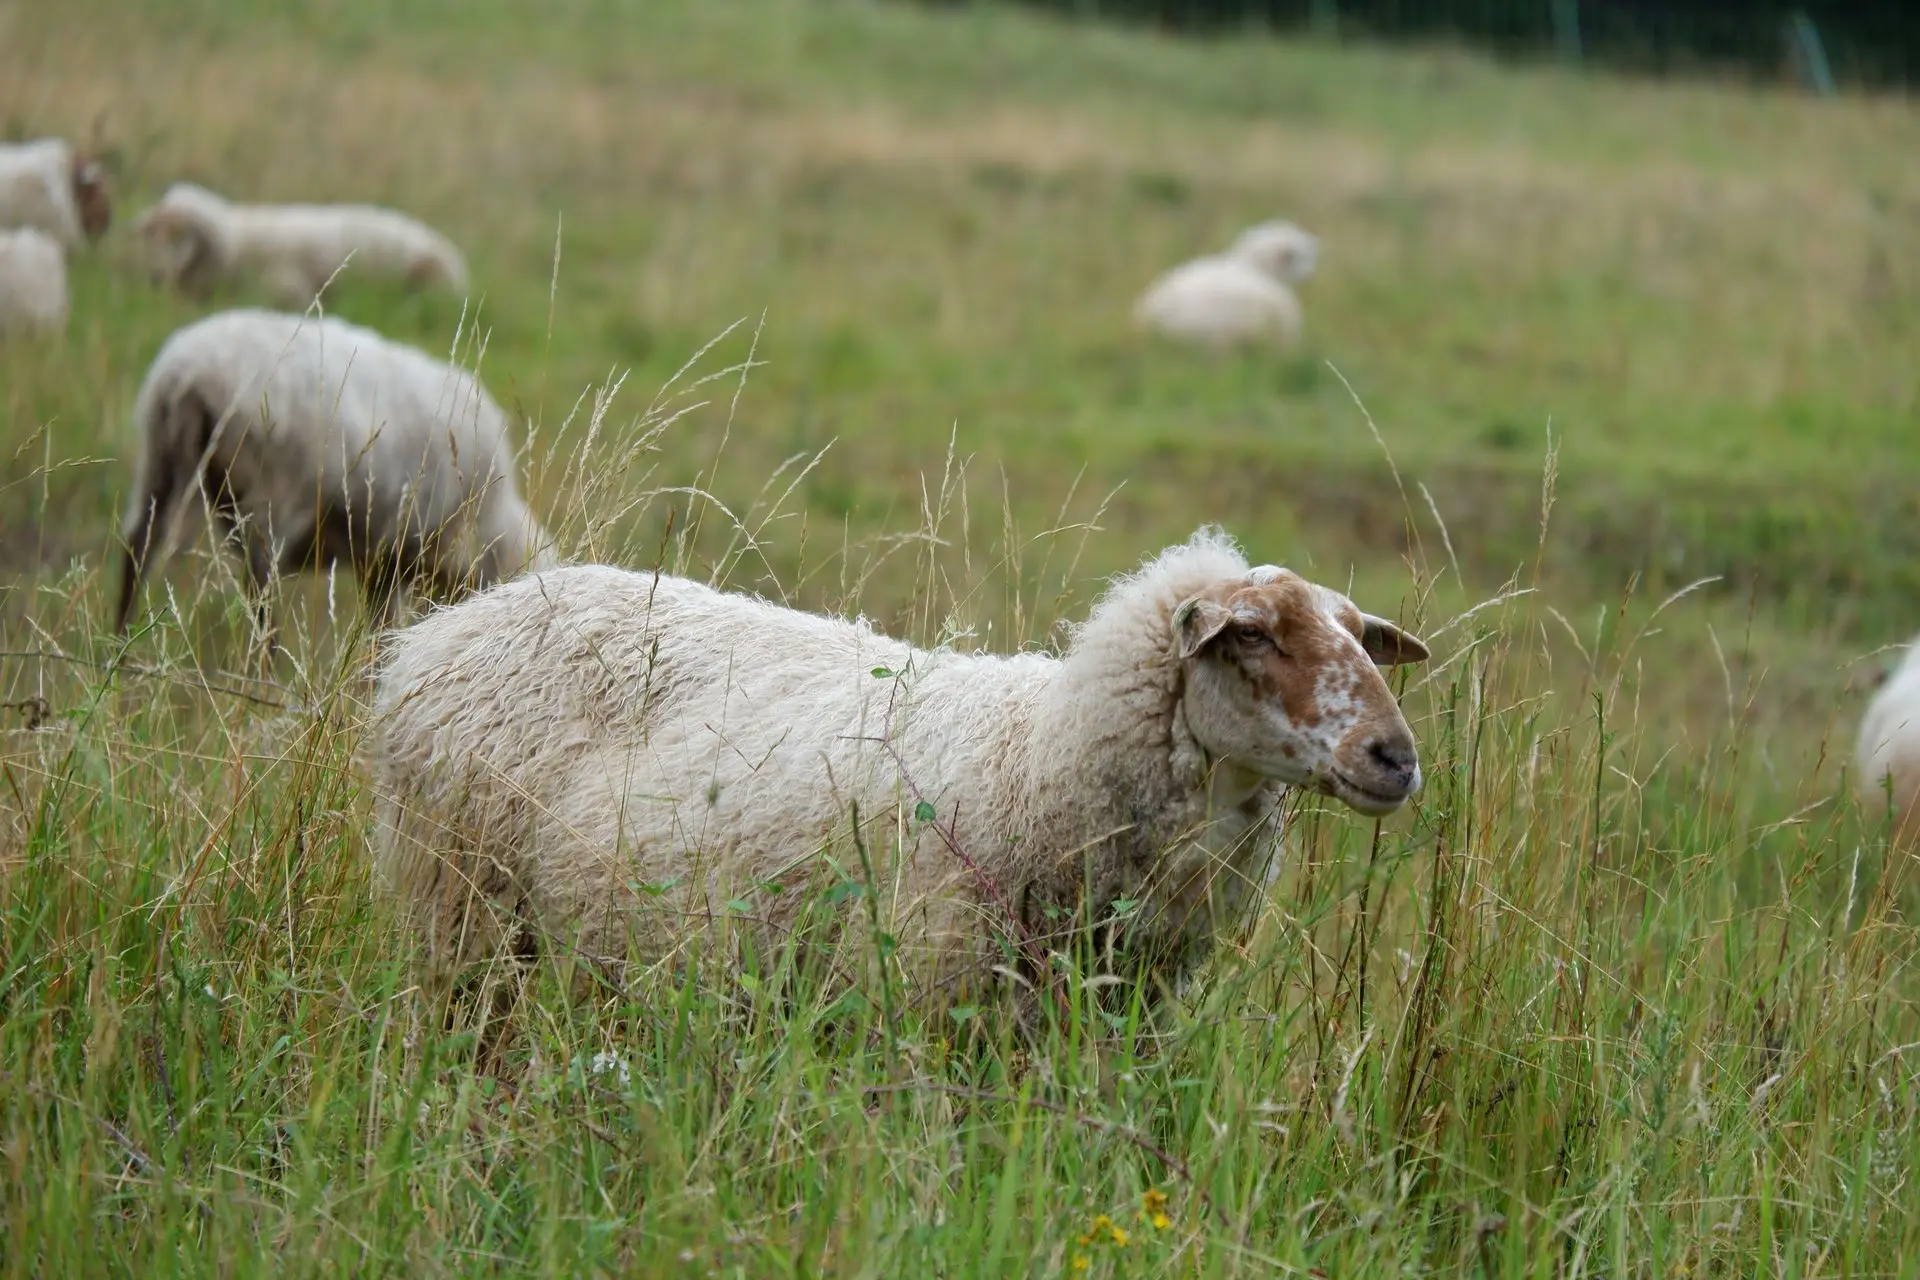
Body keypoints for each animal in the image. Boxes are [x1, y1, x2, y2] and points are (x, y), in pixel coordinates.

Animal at [114, 308, 555, 647]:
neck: (491, 522)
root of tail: (186, 373)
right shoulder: (399, 552)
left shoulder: (379, 563)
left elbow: (381, 633)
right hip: (271, 499)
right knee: (262, 601)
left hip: (158, 466)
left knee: (137, 553)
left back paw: (118, 654)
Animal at [369, 528, 1429, 1010]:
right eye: (1254, 635)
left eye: (1359, 635)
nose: (1397, 757)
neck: (1037, 755)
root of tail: (435, 638)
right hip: (461, 913)